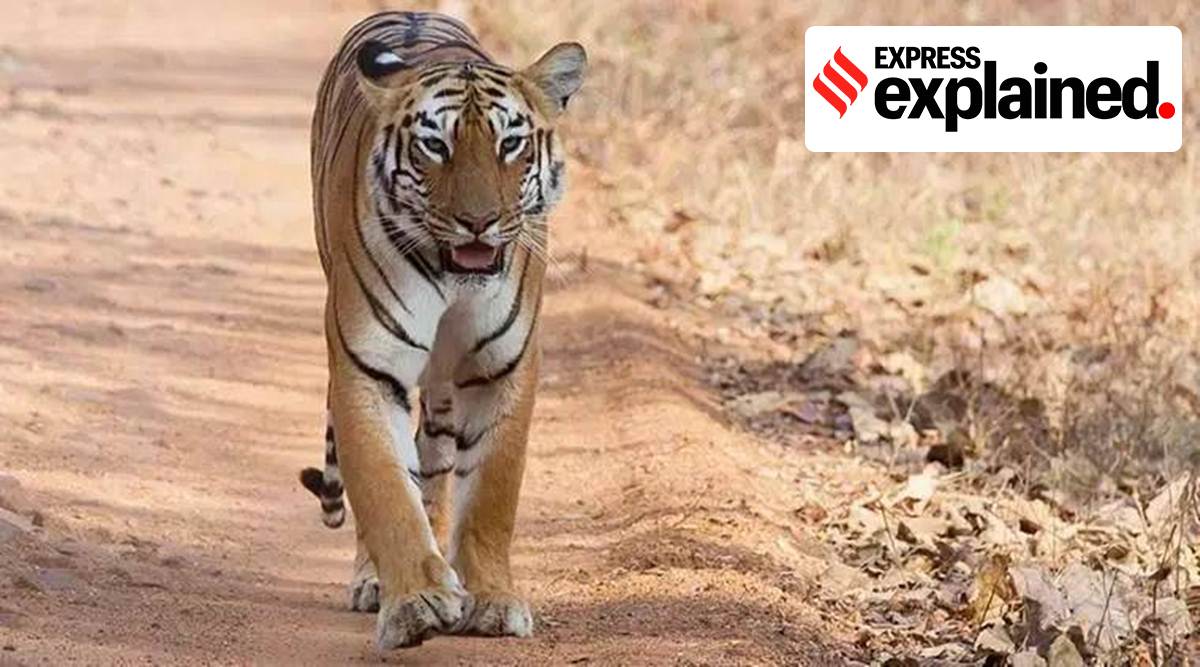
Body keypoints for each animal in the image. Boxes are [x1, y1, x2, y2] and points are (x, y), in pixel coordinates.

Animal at [296, 11, 586, 649]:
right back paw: (375, 581)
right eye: (436, 145)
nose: (478, 222)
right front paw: (415, 601)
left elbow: (491, 495)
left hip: (444, 388)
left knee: (434, 460)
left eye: (510, 144)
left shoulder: (503, 368)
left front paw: (492, 600)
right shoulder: (367, 367)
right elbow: (384, 489)